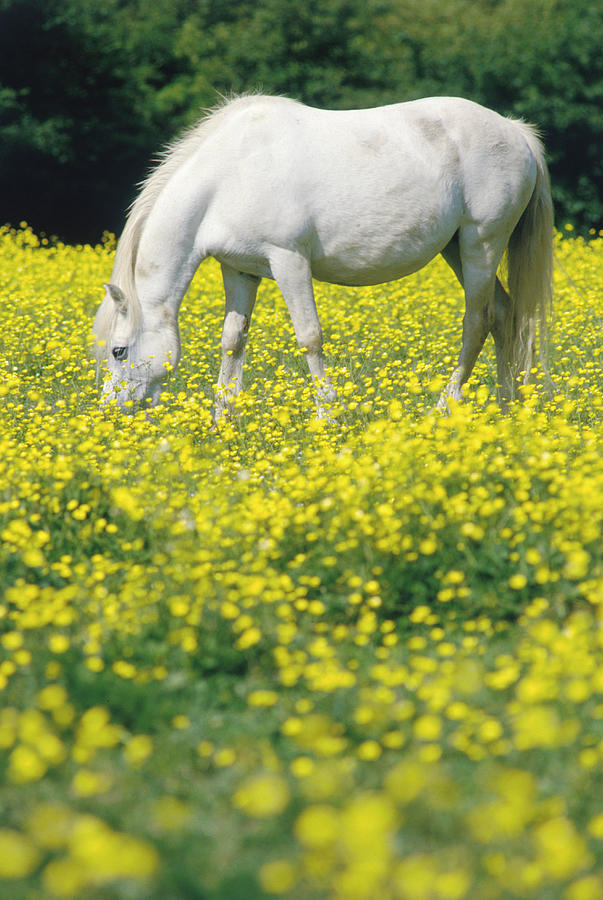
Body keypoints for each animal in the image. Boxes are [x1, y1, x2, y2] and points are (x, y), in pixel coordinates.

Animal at [93, 93, 553, 417]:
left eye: (118, 351)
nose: (110, 412)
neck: (227, 177)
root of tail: (516, 132)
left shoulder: (289, 262)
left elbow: (309, 338)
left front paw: (328, 415)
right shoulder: (239, 271)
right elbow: (232, 341)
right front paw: (223, 417)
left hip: (482, 245)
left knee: (478, 322)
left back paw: (444, 407)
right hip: (456, 249)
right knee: (505, 315)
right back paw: (507, 405)